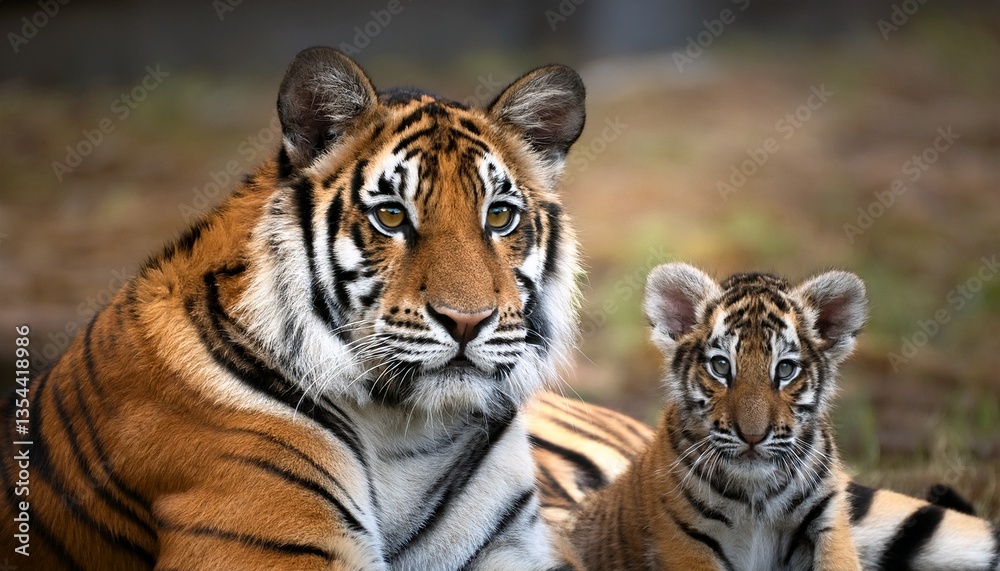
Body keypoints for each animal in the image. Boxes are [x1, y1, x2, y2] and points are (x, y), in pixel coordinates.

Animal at [528, 263, 1000, 570]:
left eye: (785, 369)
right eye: (721, 366)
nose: (753, 436)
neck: (757, 496)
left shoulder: (828, 523)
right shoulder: (687, 542)